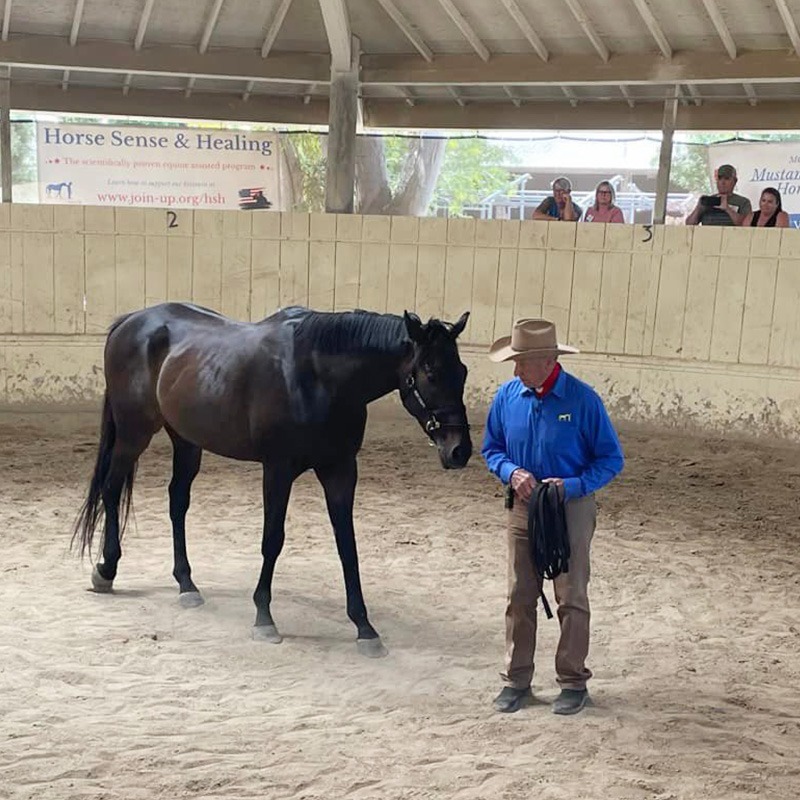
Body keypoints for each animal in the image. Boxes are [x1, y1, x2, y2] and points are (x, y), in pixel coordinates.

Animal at [72, 300, 472, 656]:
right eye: (431, 372)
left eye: (463, 371)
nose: (460, 450)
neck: (317, 377)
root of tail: (129, 321)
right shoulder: (278, 469)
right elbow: (272, 540)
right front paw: (264, 617)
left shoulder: (341, 470)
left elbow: (348, 546)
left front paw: (364, 627)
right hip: (133, 433)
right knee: (112, 488)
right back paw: (106, 570)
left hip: (186, 439)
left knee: (177, 502)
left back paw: (187, 584)